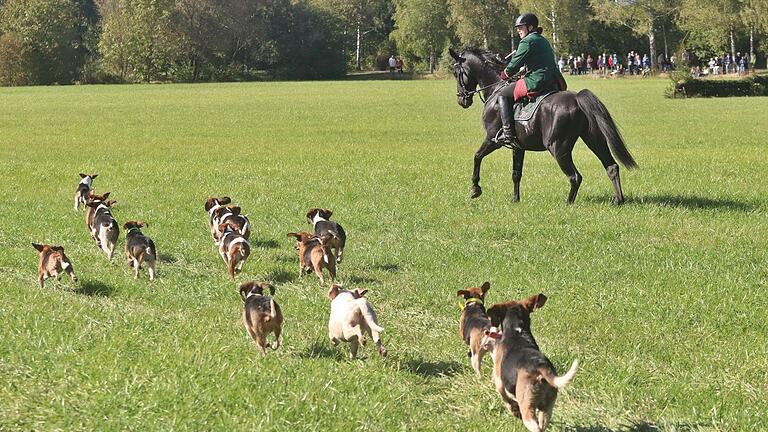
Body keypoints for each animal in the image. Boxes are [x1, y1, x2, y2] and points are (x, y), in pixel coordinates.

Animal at [448, 47, 640, 204]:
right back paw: (618, 199)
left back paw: (568, 203)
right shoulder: (518, 147)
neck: (496, 89)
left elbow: (477, 156)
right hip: (593, 139)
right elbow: (516, 173)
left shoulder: (491, 139)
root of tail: (577, 98)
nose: (461, 100)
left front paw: (475, 189)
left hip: (558, 147)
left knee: (575, 177)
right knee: (611, 167)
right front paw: (515, 199)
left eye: (457, 72)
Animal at [488, 294, 580, 432]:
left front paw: (514, 411)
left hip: (528, 406)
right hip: (547, 408)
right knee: (543, 424)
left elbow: (505, 398)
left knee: (534, 425)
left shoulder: (499, 380)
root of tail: (540, 366)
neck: (517, 331)